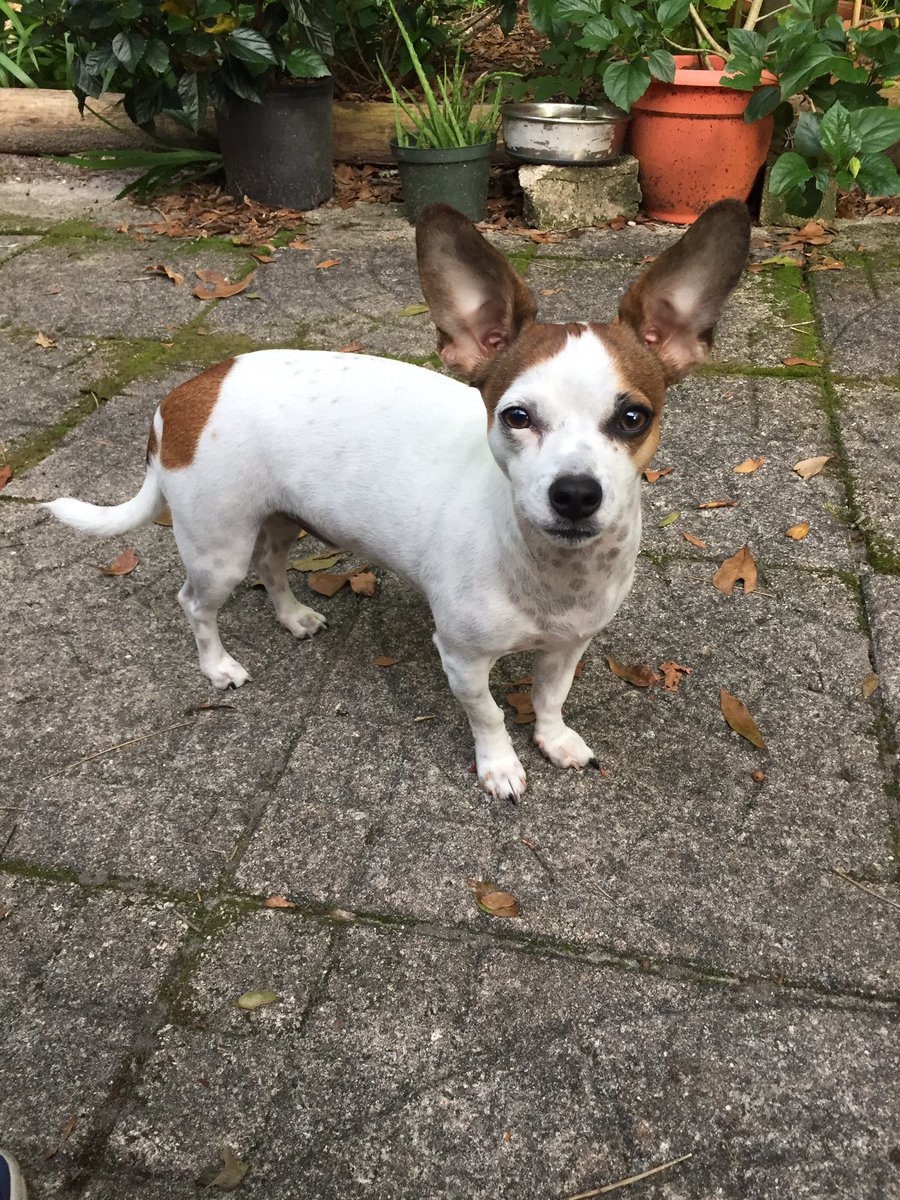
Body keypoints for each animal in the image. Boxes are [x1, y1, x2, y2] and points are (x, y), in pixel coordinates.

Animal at [45, 200, 750, 801]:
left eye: (633, 417)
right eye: (516, 416)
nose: (575, 493)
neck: (551, 572)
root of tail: (187, 392)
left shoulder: (568, 646)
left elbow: (550, 699)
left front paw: (553, 741)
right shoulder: (462, 659)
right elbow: (489, 715)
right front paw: (500, 767)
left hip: (281, 521)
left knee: (271, 567)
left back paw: (293, 616)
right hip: (217, 550)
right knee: (195, 603)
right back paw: (218, 666)